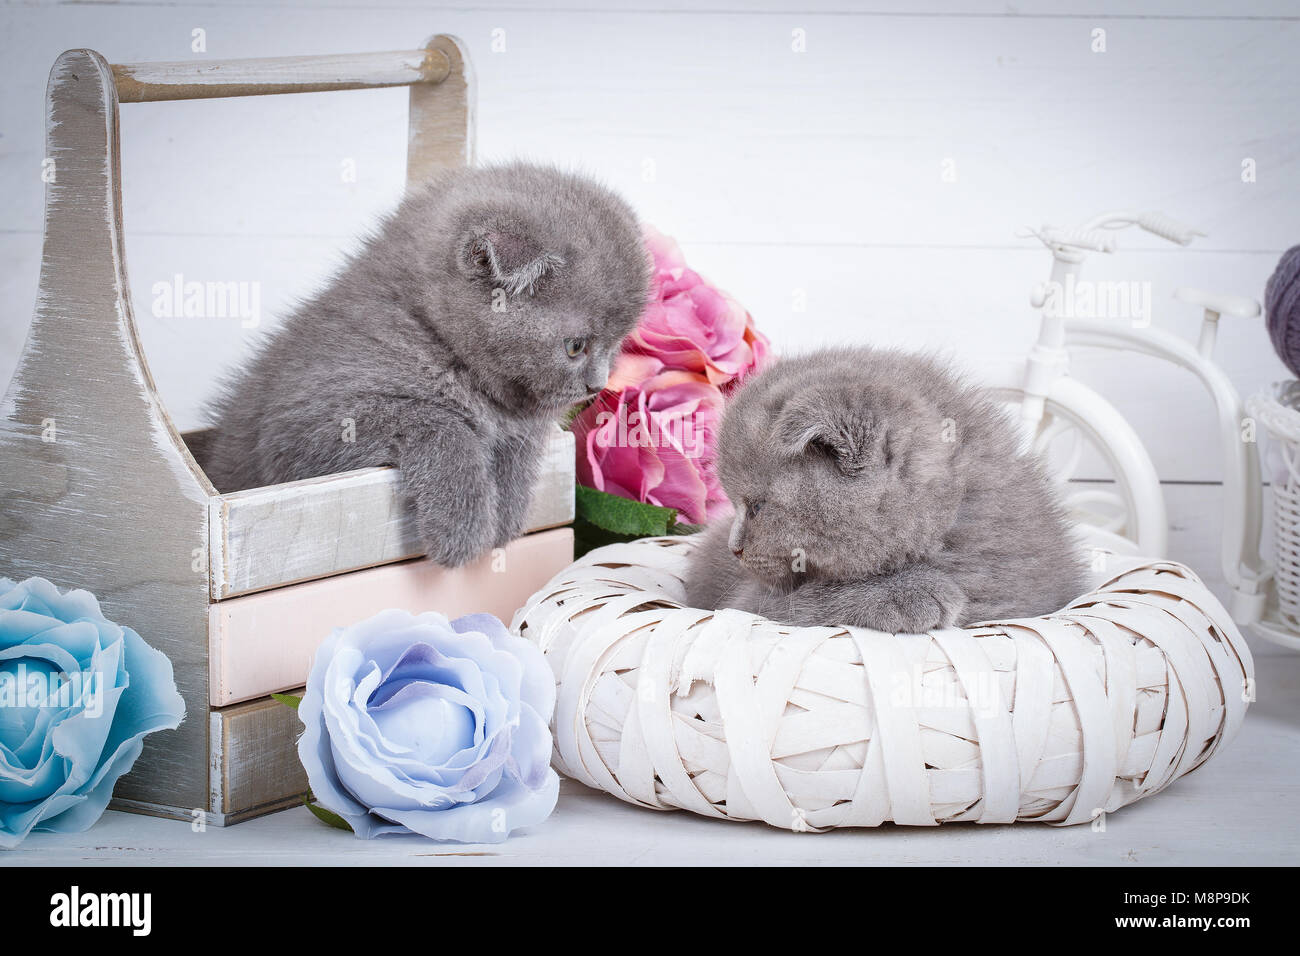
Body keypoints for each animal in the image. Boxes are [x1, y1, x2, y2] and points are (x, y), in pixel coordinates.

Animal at [202, 162, 650, 567]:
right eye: (575, 347)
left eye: (616, 345)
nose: (597, 385)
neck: (433, 335)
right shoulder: (295, 430)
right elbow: (439, 422)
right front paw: (464, 525)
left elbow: (522, 441)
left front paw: (507, 508)